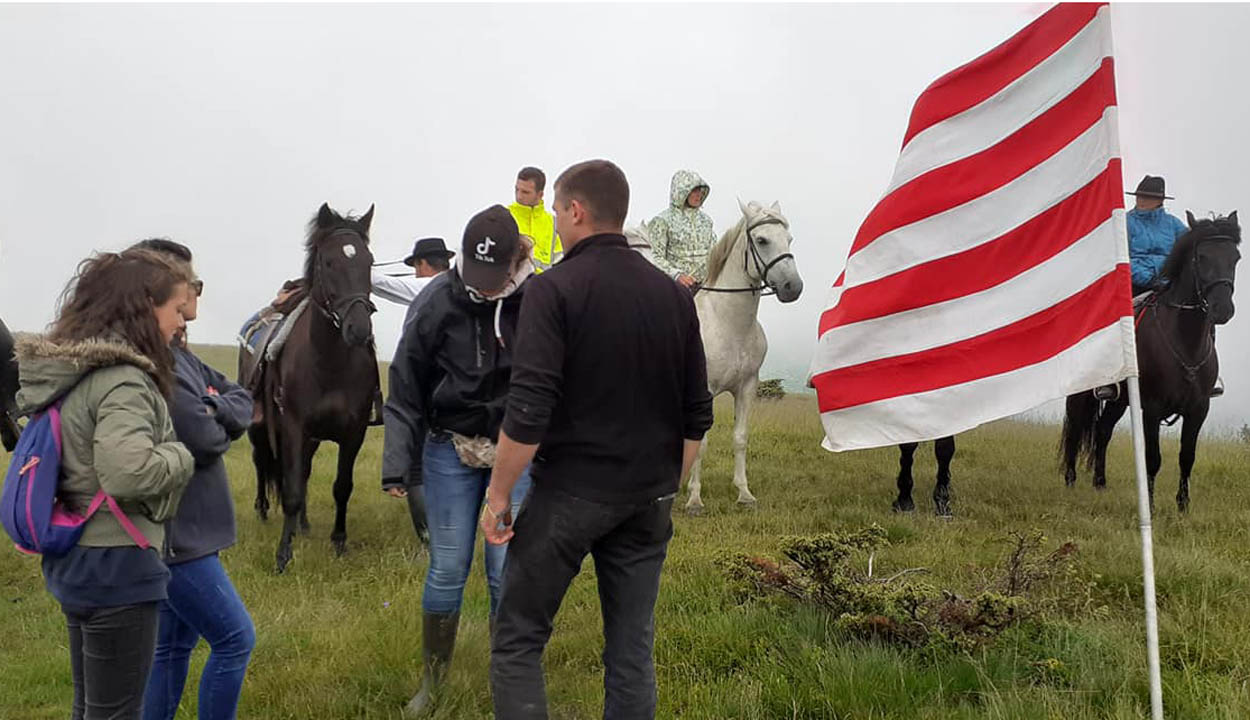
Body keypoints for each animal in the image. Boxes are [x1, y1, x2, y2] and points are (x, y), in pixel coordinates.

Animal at [245, 203, 377, 575]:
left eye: (369, 262)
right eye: (329, 262)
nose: (358, 329)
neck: (329, 363)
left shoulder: (353, 432)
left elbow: (341, 487)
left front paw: (339, 543)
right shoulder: (292, 426)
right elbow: (290, 489)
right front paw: (283, 555)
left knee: (303, 470)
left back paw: (302, 525)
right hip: (260, 427)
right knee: (261, 462)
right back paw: (263, 510)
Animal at [625, 200, 800, 515]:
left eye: (788, 239)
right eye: (762, 240)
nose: (793, 287)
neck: (729, 323)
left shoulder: (747, 387)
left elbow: (740, 438)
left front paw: (744, 494)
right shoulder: (703, 390)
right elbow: (701, 443)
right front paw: (695, 499)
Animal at [1065, 211, 1240, 510]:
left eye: (1235, 257)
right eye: (1202, 256)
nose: (1222, 309)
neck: (1184, 342)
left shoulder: (1199, 409)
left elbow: (1187, 457)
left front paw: (1183, 506)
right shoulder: (1153, 407)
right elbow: (1153, 458)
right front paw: (1151, 505)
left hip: (1120, 401)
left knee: (1103, 431)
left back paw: (1100, 483)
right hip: (1081, 394)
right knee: (1075, 430)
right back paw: (1070, 481)